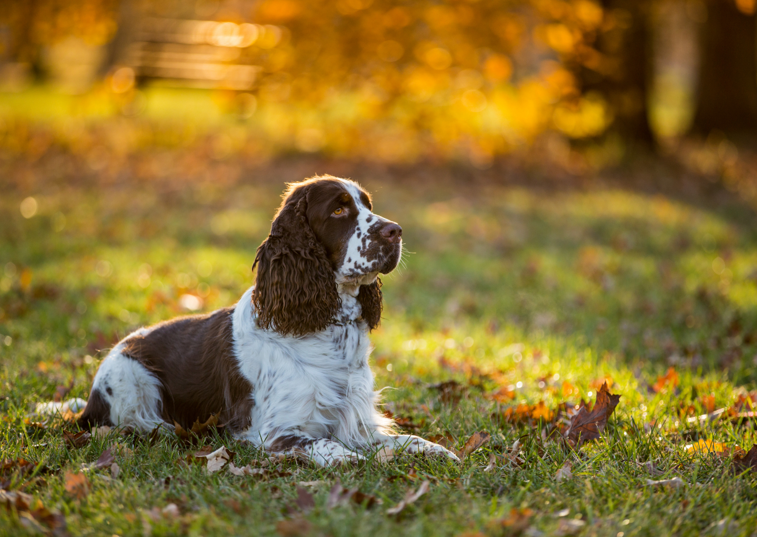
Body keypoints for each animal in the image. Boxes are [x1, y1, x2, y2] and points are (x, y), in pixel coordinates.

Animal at [60, 176, 454, 464]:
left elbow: (408, 439)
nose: (396, 231)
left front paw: (439, 450)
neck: (329, 325)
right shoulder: (276, 431)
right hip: (132, 378)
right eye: (340, 209)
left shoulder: (356, 420)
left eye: (368, 206)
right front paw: (357, 460)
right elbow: (331, 447)